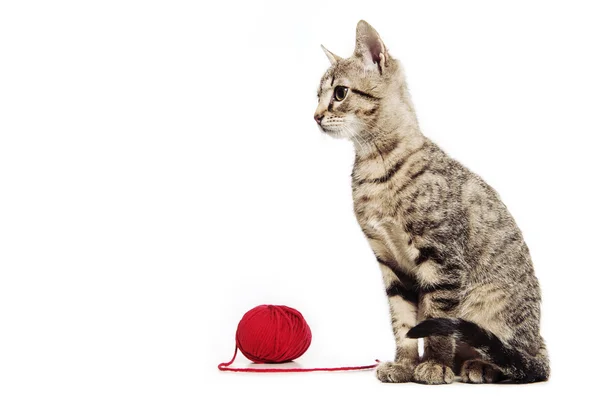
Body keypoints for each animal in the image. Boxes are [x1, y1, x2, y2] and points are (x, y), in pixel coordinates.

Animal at [316, 21, 552, 384]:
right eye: (317, 94)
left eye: (340, 93)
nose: (315, 116)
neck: (375, 166)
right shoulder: (391, 264)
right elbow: (403, 323)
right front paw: (405, 364)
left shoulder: (441, 258)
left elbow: (436, 320)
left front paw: (435, 364)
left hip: (495, 311)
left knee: (522, 363)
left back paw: (480, 366)